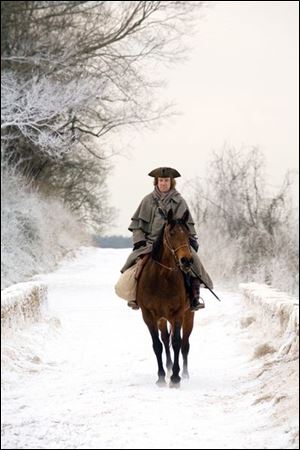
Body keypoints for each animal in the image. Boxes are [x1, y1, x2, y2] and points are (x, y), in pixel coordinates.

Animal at [136, 209, 195, 384]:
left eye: (188, 234)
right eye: (171, 233)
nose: (186, 261)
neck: (162, 277)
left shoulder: (178, 314)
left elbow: (177, 343)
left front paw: (176, 377)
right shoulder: (149, 315)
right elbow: (157, 345)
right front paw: (162, 377)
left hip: (188, 316)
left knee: (185, 343)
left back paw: (185, 373)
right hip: (162, 319)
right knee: (165, 339)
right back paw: (168, 368)